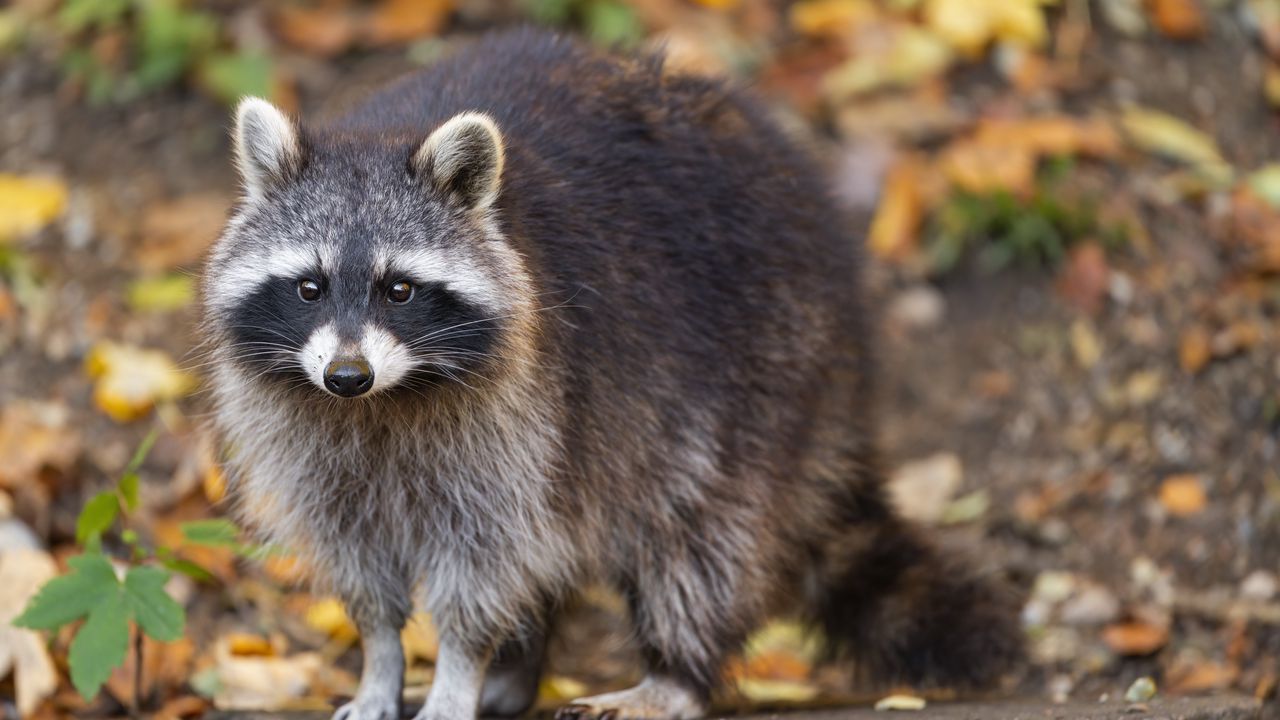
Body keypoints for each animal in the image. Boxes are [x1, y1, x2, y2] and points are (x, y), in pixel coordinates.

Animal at [201, 28, 1023, 720]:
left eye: (398, 289)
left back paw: (675, 675)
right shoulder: (311, 435)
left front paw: (458, 673)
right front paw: (381, 667)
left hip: (762, 370)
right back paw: (519, 672)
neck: (387, 401)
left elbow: (484, 561)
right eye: (309, 287)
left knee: (700, 538)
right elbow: (362, 565)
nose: (348, 374)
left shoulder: (518, 404)